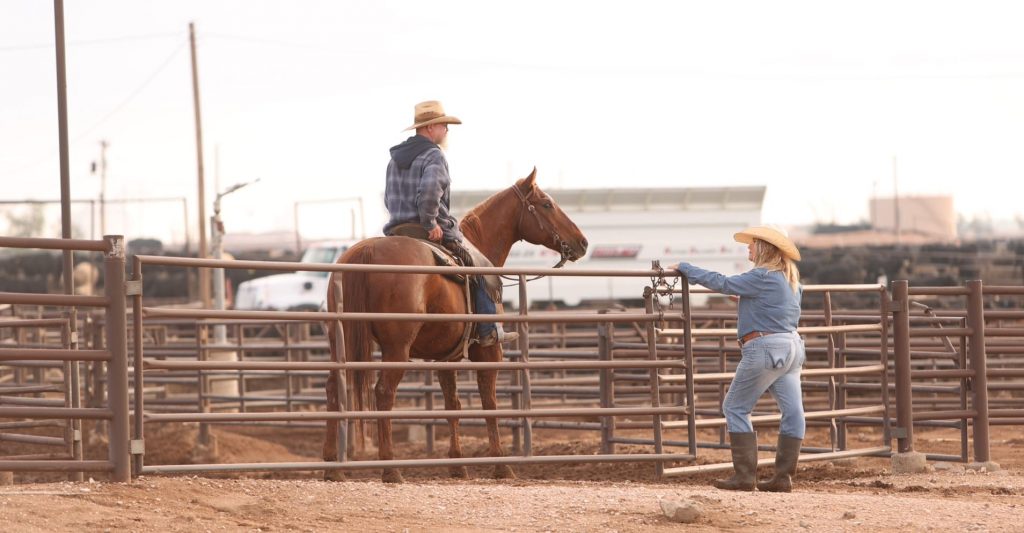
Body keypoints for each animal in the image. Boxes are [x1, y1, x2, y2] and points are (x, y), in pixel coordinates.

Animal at [323, 169, 589, 482]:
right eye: (547, 203)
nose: (582, 242)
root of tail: (366, 251)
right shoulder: (488, 353)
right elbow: (489, 403)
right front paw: (501, 465)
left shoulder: (444, 356)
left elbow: (453, 404)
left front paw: (458, 464)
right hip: (396, 348)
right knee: (383, 392)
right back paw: (390, 468)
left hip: (340, 341)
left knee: (333, 389)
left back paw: (332, 466)